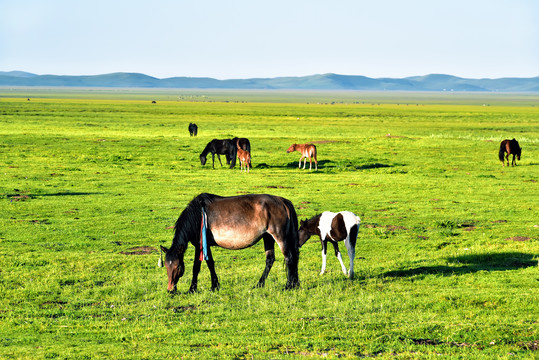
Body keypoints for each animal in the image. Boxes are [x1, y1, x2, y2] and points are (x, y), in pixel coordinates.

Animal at [158, 194, 302, 292]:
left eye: (178, 266)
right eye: (166, 266)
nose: (170, 290)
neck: (198, 215)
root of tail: (282, 201)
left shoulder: (200, 245)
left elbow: (196, 267)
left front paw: (192, 289)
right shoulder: (205, 245)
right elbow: (210, 264)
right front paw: (214, 286)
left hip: (280, 236)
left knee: (289, 258)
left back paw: (288, 286)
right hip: (268, 237)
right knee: (271, 260)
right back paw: (260, 284)